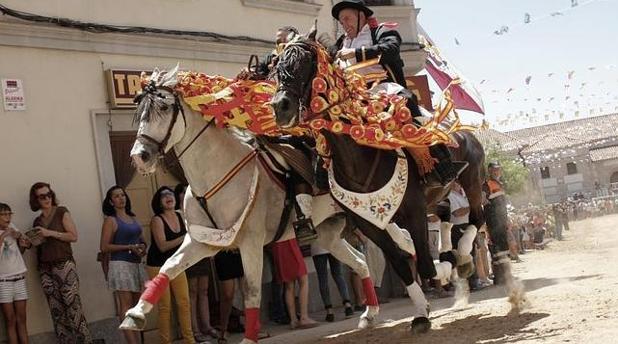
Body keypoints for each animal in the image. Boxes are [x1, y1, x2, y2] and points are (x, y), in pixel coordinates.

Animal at [122, 66, 378, 342]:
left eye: (164, 107)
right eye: (140, 111)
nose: (140, 156)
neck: (216, 175)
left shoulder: (251, 242)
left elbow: (252, 290)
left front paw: (249, 336)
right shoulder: (202, 242)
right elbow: (168, 268)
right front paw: (134, 315)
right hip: (328, 234)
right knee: (359, 261)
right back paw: (369, 314)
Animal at [270, 27, 486, 330]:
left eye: (306, 62)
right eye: (277, 67)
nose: (281, 107)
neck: (359, 154)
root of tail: (463, 130)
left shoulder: (414, 209)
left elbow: (425, 265)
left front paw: (444, 271)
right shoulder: (369, 224)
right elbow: (401, 263)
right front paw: (421, 312)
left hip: (472, 180)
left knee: (478, 217)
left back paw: (463, 254)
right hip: (437, 194)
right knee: (446, 213)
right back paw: (451, 252)